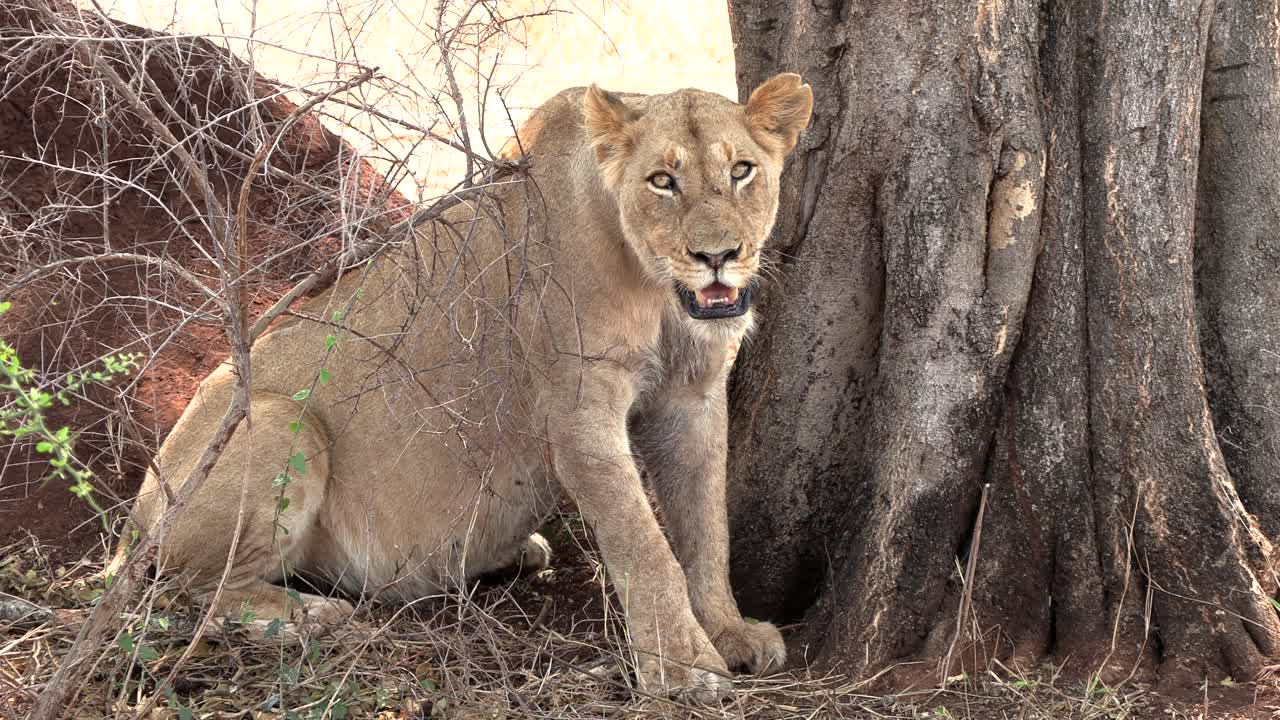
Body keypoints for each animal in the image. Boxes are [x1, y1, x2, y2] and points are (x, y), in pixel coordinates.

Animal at [114, 73, 813, 699]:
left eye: (742, 171)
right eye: (662, 181)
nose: (717, 256)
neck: (656, 290)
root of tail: (131, 526)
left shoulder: (692, 397)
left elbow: (705, 526)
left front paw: (728, 631)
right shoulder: (580, 412)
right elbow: (644, 545)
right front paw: (685, 668)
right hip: (281, 418)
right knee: (187, 591)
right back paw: (308, 615)